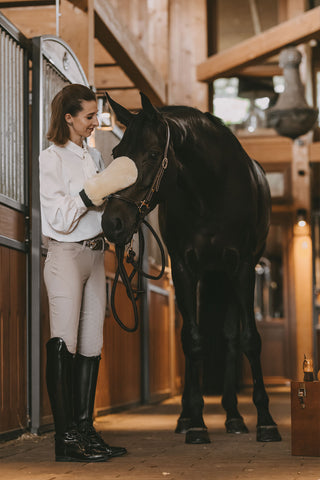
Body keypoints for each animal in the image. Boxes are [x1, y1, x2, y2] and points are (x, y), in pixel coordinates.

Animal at [101, 92, 282, 444]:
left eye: (152, 154)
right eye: (116, 154)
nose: (111, 223)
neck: (211, 190)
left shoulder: (243, 268)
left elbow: (249, 340)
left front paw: (266, 422)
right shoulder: (186, 269)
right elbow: (192, 341)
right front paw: (196, 422)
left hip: (225, 278)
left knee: (230, 338)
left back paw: (235, 416)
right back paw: (188, 416)